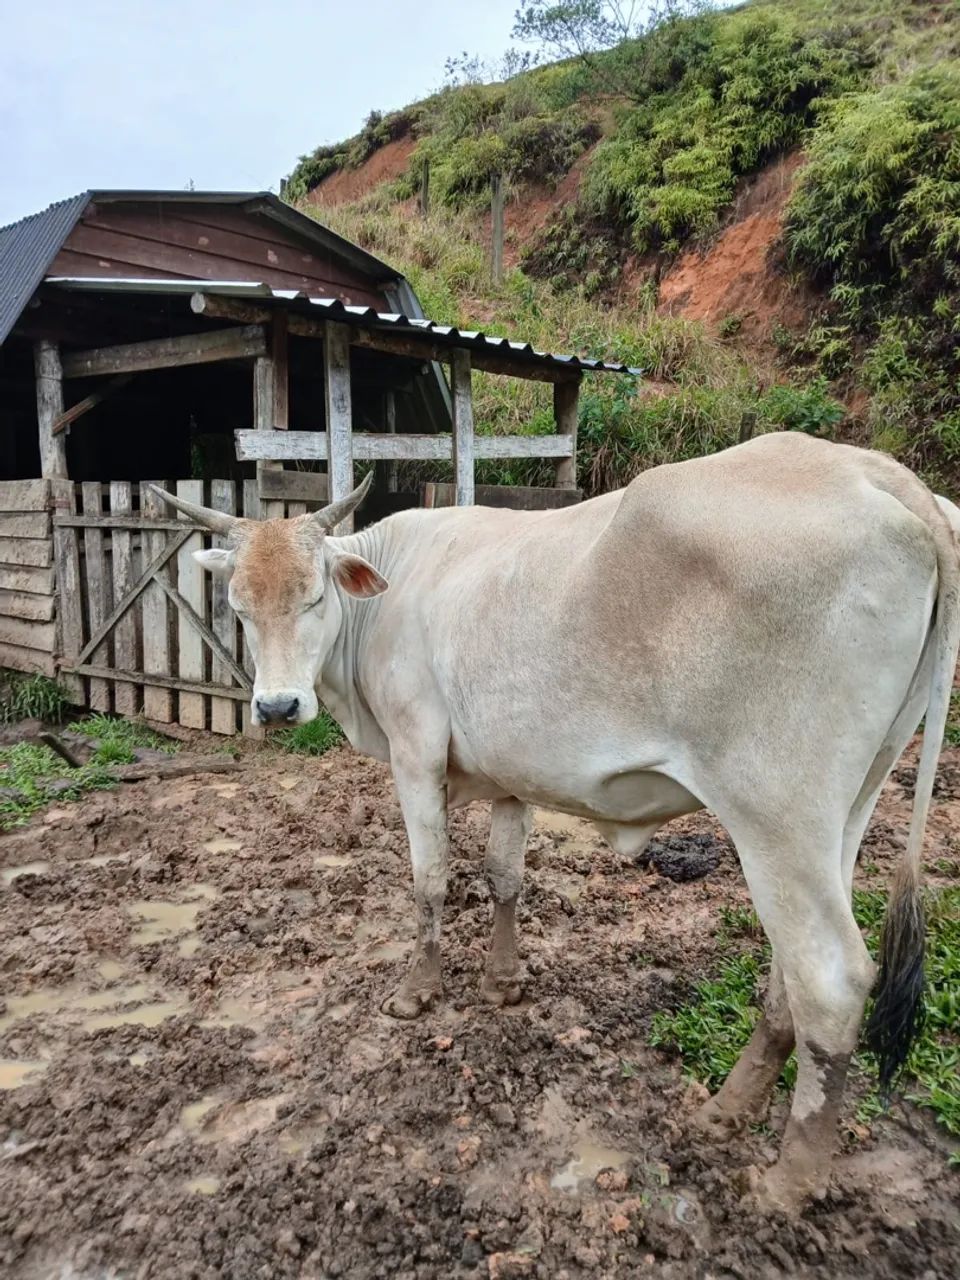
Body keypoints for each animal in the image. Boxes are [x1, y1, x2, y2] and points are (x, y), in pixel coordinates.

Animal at [152, 430, 960, 1214]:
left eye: (315, 596)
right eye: (238, 606)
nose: (277, 706)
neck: (389, 595)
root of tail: (883, 475)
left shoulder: (415, 752)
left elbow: (430, 881)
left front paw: (417, 992)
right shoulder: (514, 775)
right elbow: (504, 876)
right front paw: (503, 981)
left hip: (777, 816)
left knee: (832, 978)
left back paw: (785, 1183)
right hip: (850, 806)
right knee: (791, 970)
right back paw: (726, 1110)